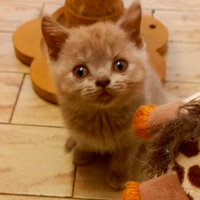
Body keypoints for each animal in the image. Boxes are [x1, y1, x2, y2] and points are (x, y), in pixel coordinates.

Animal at [41, 0, 166, 190]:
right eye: (80, 71)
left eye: (120, 65)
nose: (102, 80)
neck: (103, 118)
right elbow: (84, 140)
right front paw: (82, 152)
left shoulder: (132, 138)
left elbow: (124, 156)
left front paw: (118, 175)